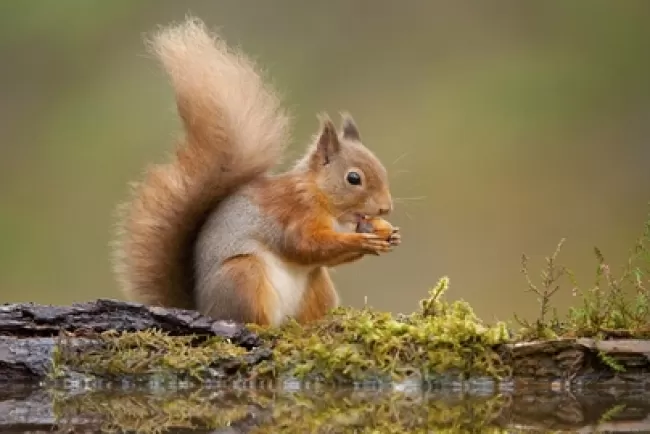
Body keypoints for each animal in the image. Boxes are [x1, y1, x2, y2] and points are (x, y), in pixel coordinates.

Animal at [111, 17, 400, 327]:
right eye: (353, 178)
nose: (385, 208)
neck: (321, 198)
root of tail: (205, 308)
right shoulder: (293, 213)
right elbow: (304, 245)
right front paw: (362, 240)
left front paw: (389, 234)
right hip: (244, 275)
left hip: (317, 284)